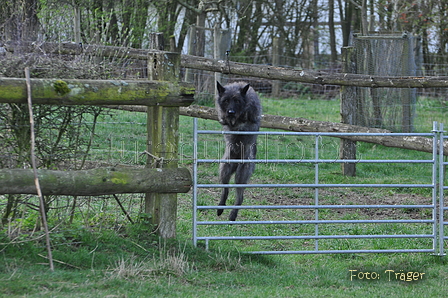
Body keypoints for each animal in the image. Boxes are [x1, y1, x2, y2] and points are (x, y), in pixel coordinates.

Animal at [215, 81, 260, 221]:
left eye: (237, 101)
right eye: (226, 100)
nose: (231, 112)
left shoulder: (250, 118)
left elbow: (246, 119)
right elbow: (226, 121)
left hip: (241, 174)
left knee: (240, 197)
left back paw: (232, 215)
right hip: (224, 168)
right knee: (225, 190)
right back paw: (220, 207)